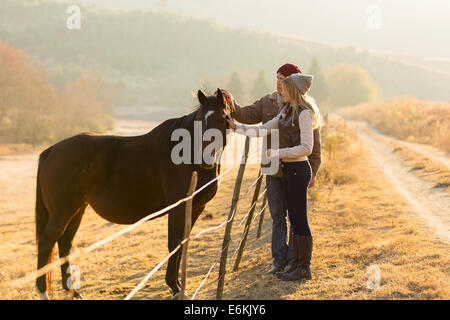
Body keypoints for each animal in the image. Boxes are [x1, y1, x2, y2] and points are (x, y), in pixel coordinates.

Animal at [34, 88, 236, 300]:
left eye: (222, 119)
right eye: (199, 120)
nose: (206, 159)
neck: (185, 154)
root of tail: (52, 150)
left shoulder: (196, 208)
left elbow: (183, 242)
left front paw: (180, 286)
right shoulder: (178, 208)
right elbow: (174, 244)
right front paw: (174, 287)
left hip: (77, 209)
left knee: (64, 242)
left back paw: (73, 291)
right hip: (62, 212)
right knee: (47, 242)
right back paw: (44, 292)